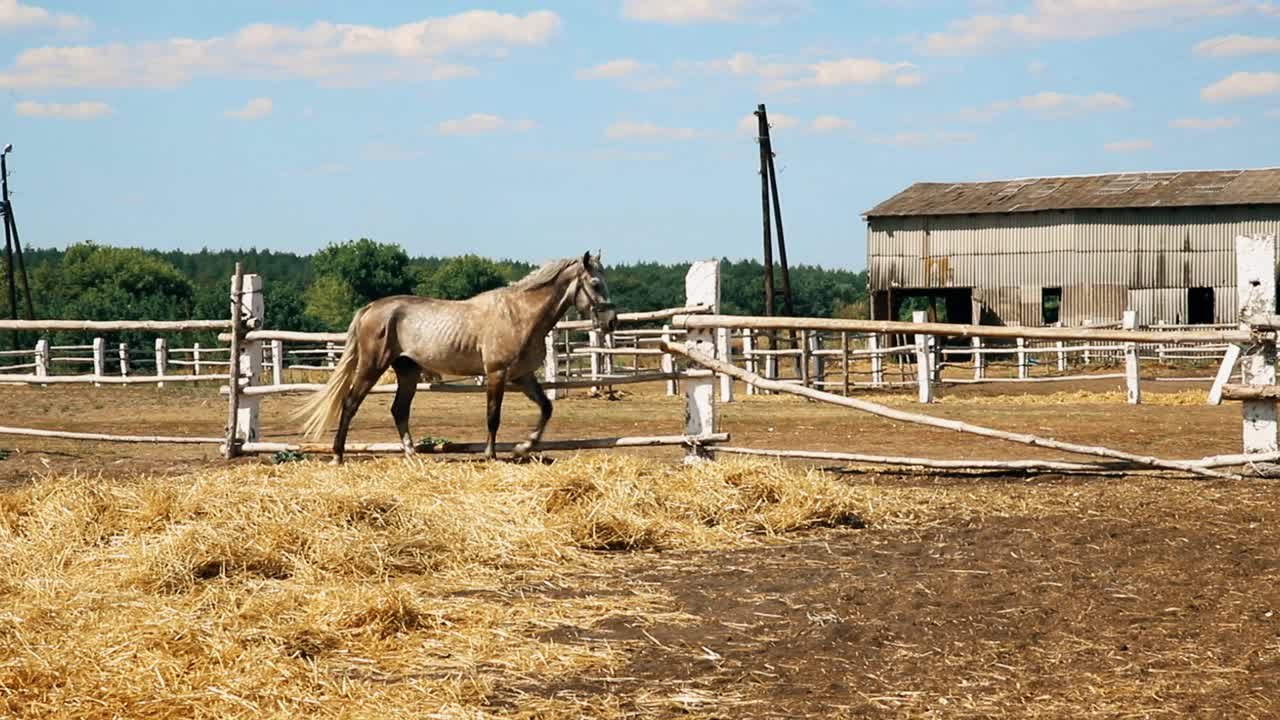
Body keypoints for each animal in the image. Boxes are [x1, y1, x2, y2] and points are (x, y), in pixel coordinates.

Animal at [289, 252, 614, 461]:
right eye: (595, 284)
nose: (611, 321)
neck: (519, 314)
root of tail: (370, 308)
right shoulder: (497, 374)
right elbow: (493, 416)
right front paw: (491, 455)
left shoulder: (522, 376)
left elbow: (546, 408)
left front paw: (524, 447)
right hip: (372, 366)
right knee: (350, 404)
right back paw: (338, 455)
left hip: (407, 371)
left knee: (399, 410)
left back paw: (411, 454)